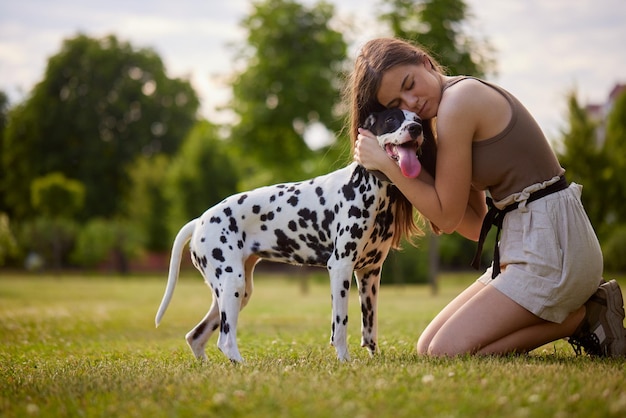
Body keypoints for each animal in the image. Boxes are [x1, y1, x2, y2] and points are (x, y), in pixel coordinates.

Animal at [156, 108, 428, 362]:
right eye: (392, 119)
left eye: (417, 119)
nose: (416, 128)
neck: (370, 187)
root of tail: (200, 220)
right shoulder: (340, 267)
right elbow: (340, 325)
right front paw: (345, 361)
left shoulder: (370, 273)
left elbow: (370, 328)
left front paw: (373, 358)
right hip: (233, 284)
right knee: (225, 339)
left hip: (234, 291)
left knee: (195, 336)